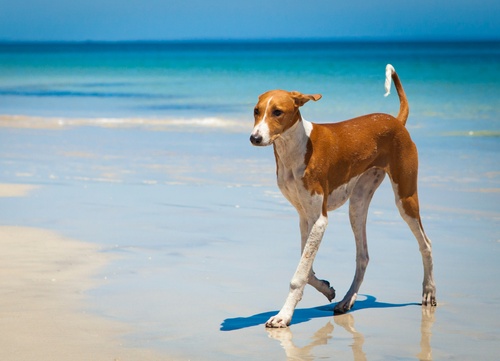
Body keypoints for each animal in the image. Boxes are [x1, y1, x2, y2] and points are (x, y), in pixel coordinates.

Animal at [249, 64, 434, 326]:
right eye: (256, 111)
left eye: (277, 112)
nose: (255, 138)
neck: (296, 147)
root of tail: (397, 121)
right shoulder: (305, 217)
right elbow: (307, 268)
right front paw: (326, 288)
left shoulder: (319, 220)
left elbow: (299, 274)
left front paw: (284, 315)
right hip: (357, 204)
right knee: (363, 256)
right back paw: (347, 299)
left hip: (405, 198)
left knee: (426, 244)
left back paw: (428, 291)